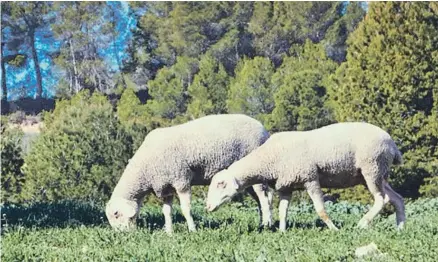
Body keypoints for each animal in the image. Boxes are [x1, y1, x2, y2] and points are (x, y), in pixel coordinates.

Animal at [104, 113, 272, 232]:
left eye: (116, 214)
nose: (123, 235)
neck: (145, 170)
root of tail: (263, 129)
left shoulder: (181, 180)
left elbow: (185, 209)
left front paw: (192, 230)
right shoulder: (166, 188)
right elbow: (166, 211)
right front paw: (169, 232)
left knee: (263, 197)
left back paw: (266, 224)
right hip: (246, 176)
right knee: (259, 199)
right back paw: (262, 223)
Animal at [207, 121, 406, 231]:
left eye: (221, 184)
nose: (207, 206)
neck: (268, 159)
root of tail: (392, 143)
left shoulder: (310, 178)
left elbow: (320, 209)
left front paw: (334, 229)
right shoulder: (286, 186)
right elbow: (283, 211)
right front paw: (282, 231)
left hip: (372, 167)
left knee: (381, 199)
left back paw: (362, 223)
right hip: (376, 174)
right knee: (397, 198)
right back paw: (400, 228)